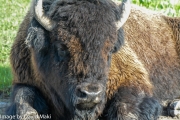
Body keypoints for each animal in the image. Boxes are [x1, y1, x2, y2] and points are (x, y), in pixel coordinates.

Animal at [5, 0, 180, 119]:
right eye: (61, 47)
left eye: (109, 50)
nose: (90, 94)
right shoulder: (24, 80)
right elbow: (22, 99)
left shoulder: (134, 80)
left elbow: (126, 108)